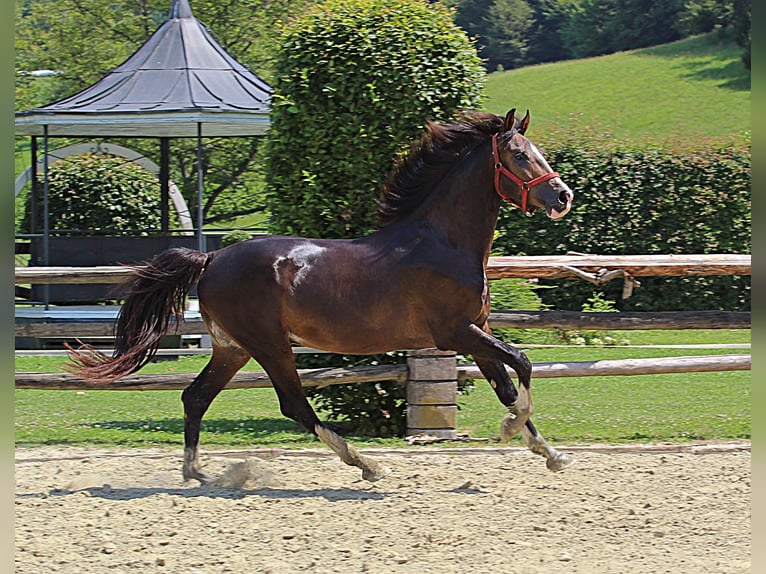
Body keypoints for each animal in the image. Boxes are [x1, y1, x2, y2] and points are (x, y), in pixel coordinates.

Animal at [69, 107, 576, 482]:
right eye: (518, 155)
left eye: (536, 151)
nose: (563, 197)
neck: (443, 242)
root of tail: (211, 259)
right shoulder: (455, 332)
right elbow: (522, 365)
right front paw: (513, 428)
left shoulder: (477, 329)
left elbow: (506, 383)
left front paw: (548, 451)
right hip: (269, 345)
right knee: (292, 404)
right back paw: (366, 463)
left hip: (233, 347)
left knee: (195, 397)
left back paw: (199, 474)